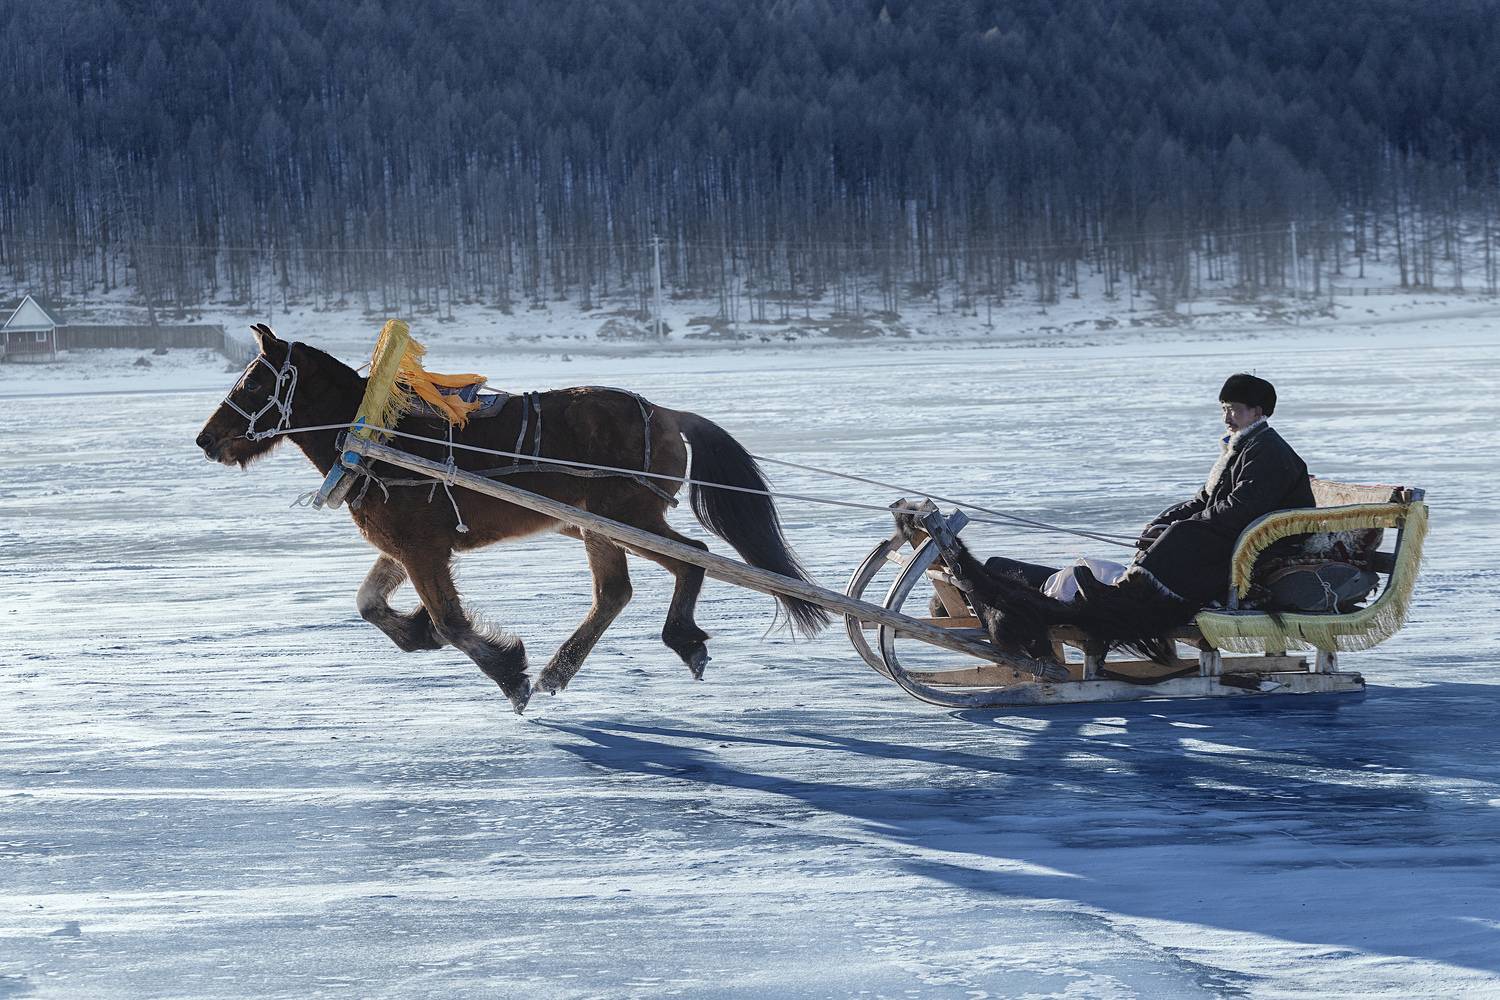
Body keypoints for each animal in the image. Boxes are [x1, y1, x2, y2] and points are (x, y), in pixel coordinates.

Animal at [195, 324, 829, 714]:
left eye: (253, 380)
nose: (206, 440)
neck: (377, 437)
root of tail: (667, 413)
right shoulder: (405, 545)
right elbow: (370, 604)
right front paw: (418, 632)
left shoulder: (422, 549)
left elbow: (451, 622)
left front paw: (509, 672)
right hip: (597, 524)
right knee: (616, 592)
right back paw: (563, 669)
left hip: (626, 514)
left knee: (690, 558)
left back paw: (676, 639)